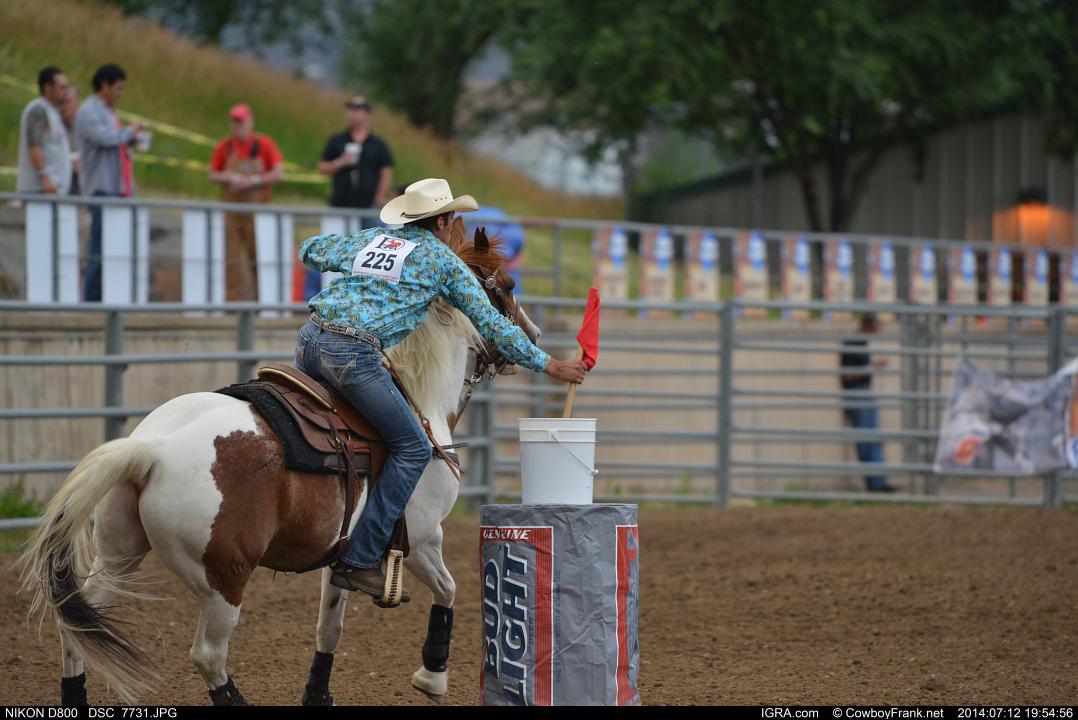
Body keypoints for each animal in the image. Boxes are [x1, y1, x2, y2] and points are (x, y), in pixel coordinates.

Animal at [19, 221, 535, 706]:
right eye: (508, 284)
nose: (533, 332)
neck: (420, 400)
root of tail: (154, 448)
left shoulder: (344, 555)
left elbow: (330, 628)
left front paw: (319, 694)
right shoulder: (423, 536)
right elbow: (449, 589)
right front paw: (432, 676)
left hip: (119, 551)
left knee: (77, 628)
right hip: (222, 579)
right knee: (208, 655)